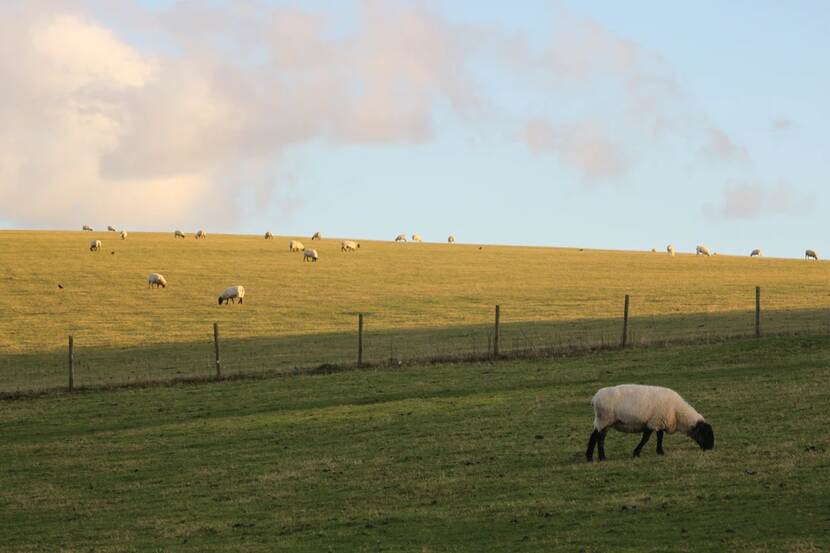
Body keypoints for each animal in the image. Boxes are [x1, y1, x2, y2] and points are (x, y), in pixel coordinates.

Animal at [584, 384, 716, 462]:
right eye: (704, 433)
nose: (710, 448)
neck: (677, 413)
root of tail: (595, 398)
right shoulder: (653, 422)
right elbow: (646, 438)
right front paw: (636, 453)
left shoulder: (659, 422)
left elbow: (660, 437)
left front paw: (660, 452)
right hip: (604, 419)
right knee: (597, 437)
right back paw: (598, 458)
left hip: (604, 421)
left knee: (597, 437)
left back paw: (593, 457)